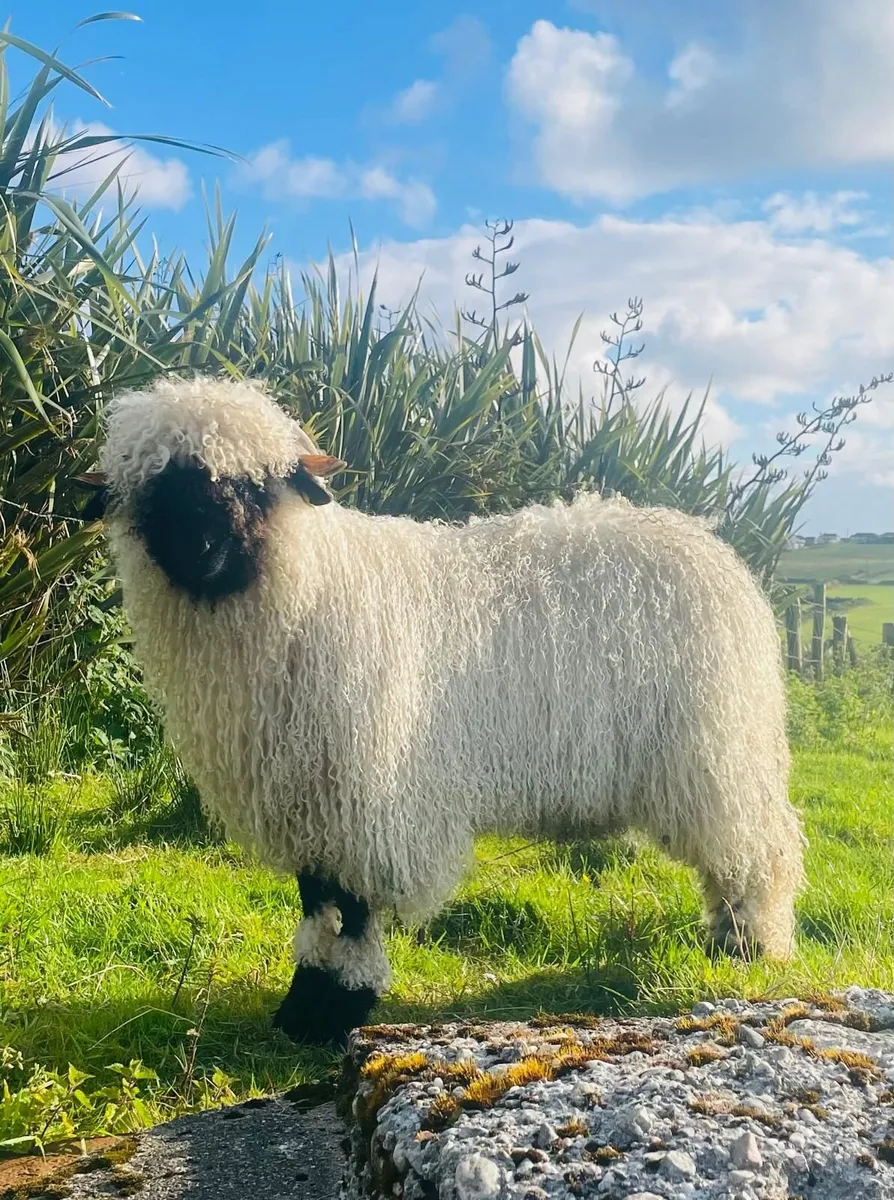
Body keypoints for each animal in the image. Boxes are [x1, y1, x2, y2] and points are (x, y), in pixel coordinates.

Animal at [86, 375, 804, 1046]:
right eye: (151, 489)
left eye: (258, 486)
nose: (201, 552)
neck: (308, 587)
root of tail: (709, 546)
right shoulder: (310, 797)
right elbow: (316, 904)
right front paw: (304, 1003)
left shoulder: (365, 799)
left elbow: (354, 912)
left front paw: (338, 1006)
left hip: (716, 753)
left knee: (754, 852)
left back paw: (749, 948)